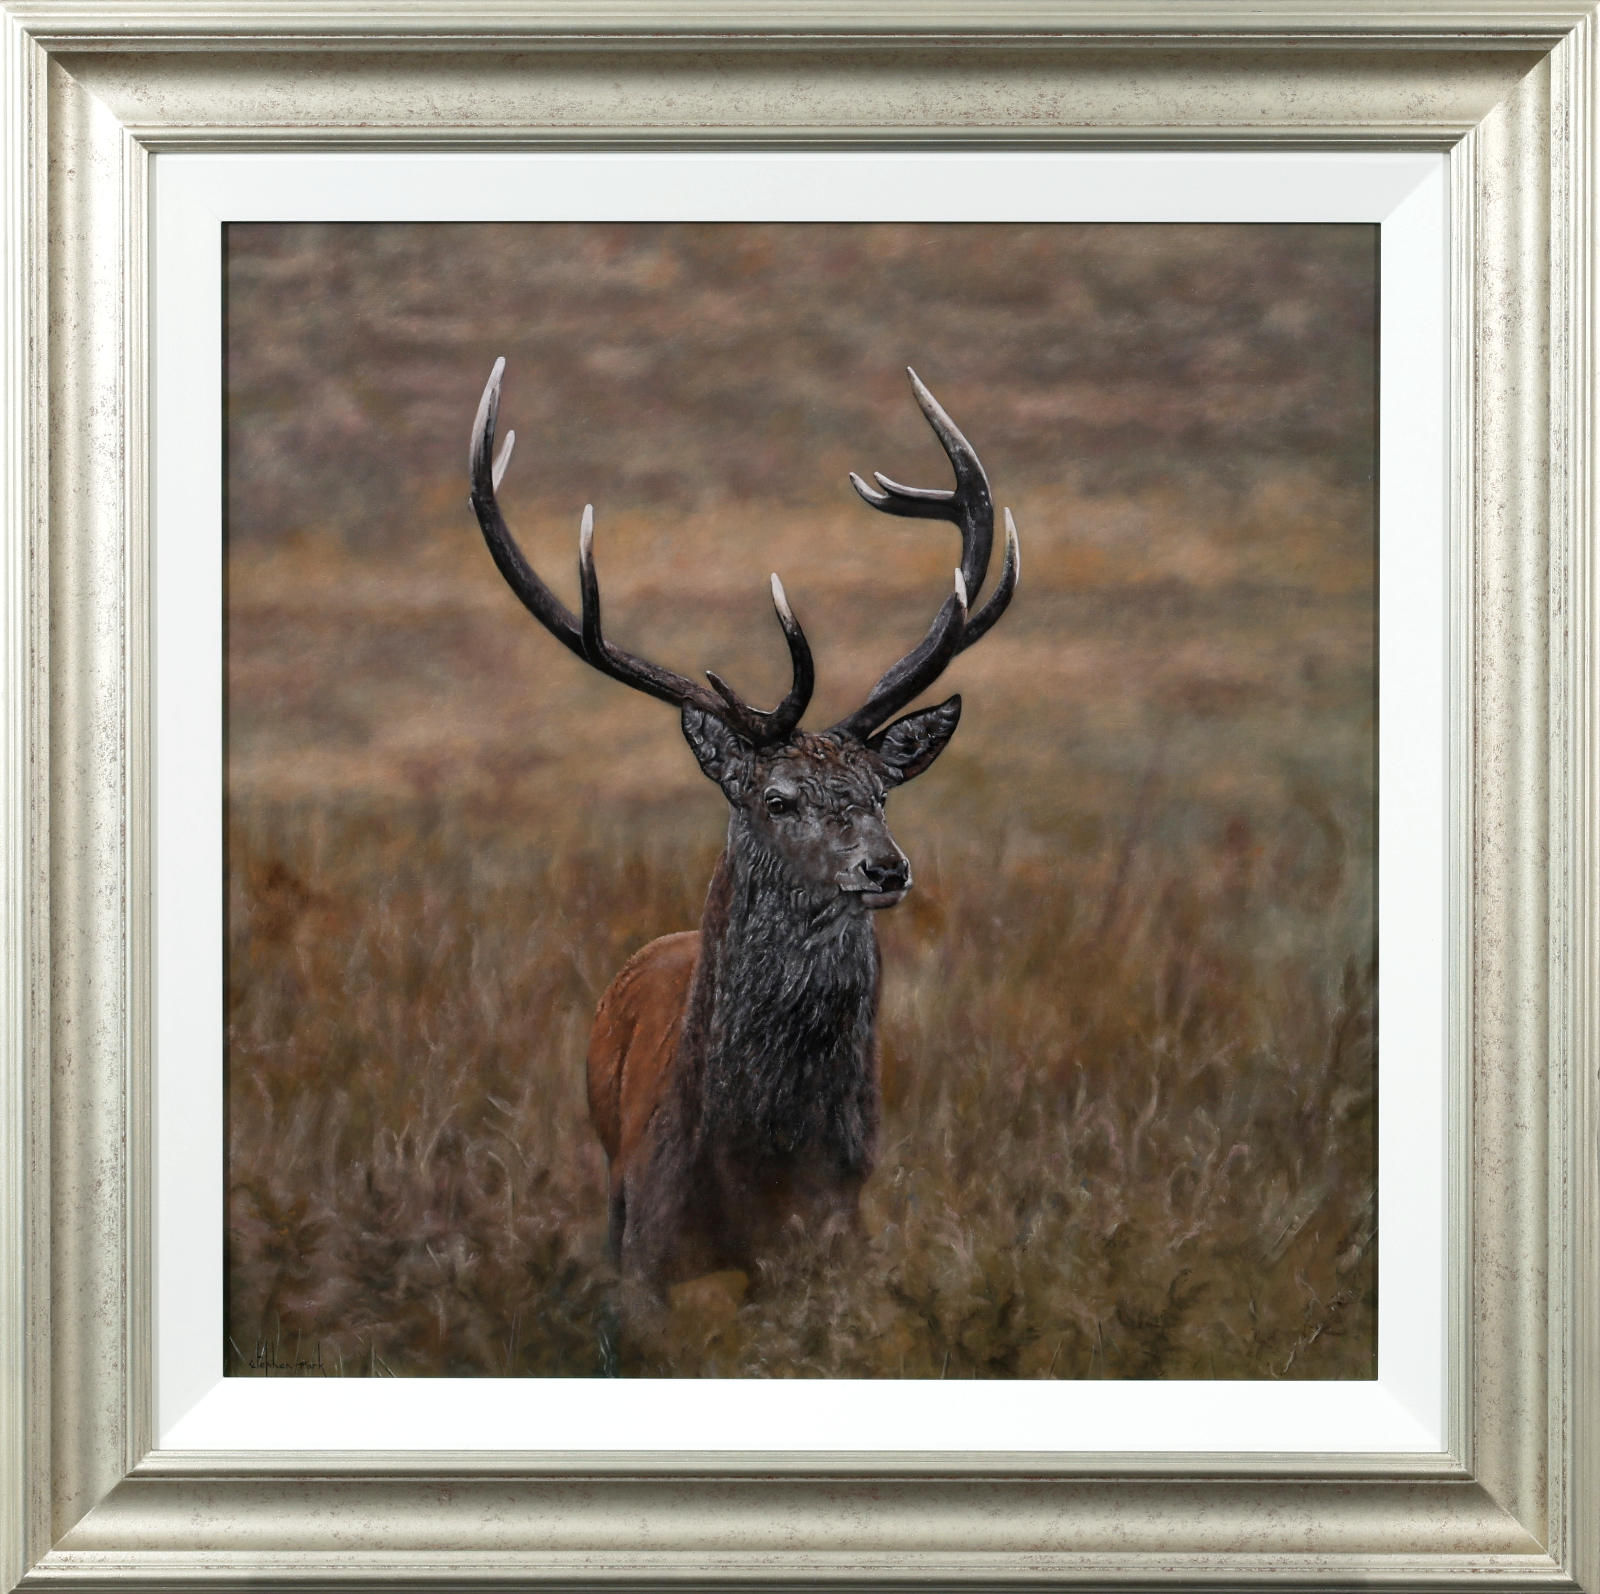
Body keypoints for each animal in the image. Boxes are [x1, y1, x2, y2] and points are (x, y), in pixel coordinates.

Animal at [468, 358, 1020, 1287]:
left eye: (882, 792)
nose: (886, 868)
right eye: (778, 798)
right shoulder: (646, 1252)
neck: (750, 1165)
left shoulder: (838, 1239)